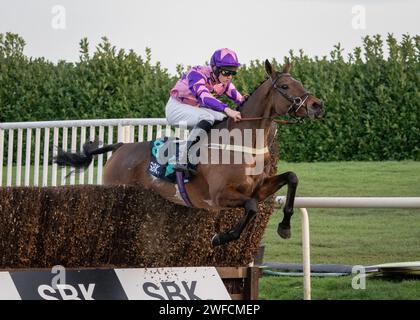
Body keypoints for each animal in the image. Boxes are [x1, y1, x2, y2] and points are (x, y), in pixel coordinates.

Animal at [55, 59, 324, 245]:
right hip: (114, 190)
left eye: (301, 83)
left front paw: (285, 226)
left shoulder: (258, 188)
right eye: (286, 86)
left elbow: (291, 178)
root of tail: (122, 147)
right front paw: (220, 237)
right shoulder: (219, 196)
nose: (317, 105)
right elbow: (251, 207)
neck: (244, 144)